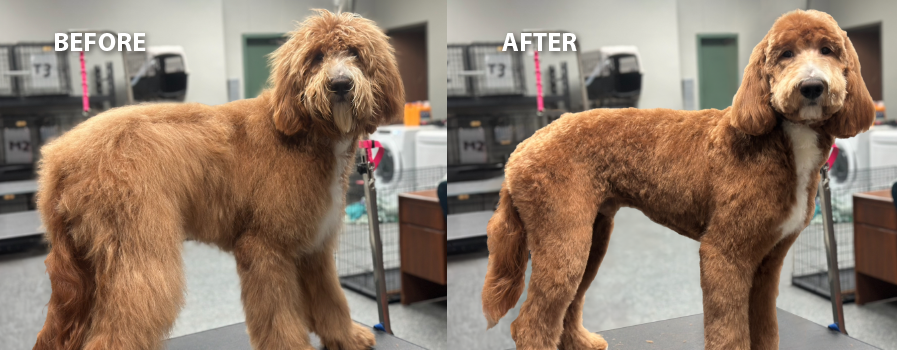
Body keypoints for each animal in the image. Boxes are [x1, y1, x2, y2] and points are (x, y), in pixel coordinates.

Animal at [31, 9, 402, 348]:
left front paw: (346, 337)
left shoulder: (315, 248)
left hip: (80, 271)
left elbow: (331, 298)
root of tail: (59, 156)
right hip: (139, 259)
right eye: (316, 56)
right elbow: (278, 315)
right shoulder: (265, 248)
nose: (340, 84)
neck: (304, 131)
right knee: (117, 331)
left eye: (354, 53)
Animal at [484, 10, 876, 350]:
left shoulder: (769, 261)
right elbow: (728, 329)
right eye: (785, 54)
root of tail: (521, 149)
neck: (782, 139)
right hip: (563, 238)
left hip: (592, 235)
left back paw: (583, 342)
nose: (812, 86)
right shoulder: (724, 252)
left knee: (569, 304)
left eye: (828, 50)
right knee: (531, 323)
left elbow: (765, 326)